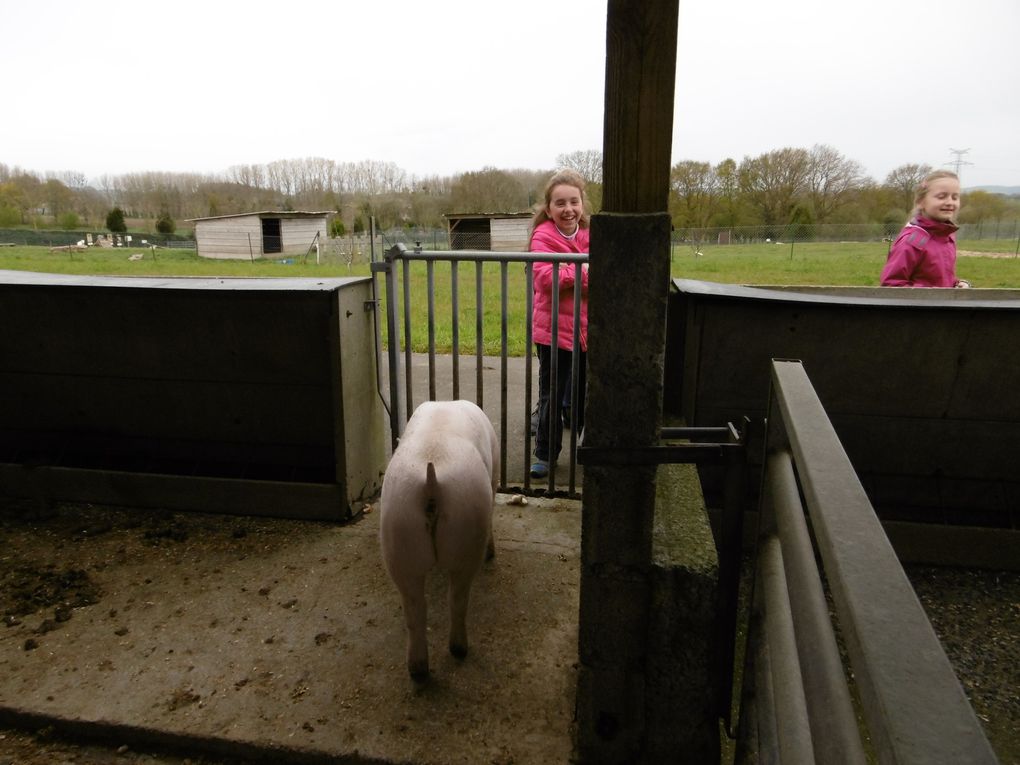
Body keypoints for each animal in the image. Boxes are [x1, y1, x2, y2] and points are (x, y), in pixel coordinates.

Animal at [379, 401, 497, 681]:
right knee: (457, 597)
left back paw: (418, 671)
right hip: (467, 528)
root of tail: (431, 481)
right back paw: (459, 650)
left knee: (414, 608)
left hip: (398, 531)